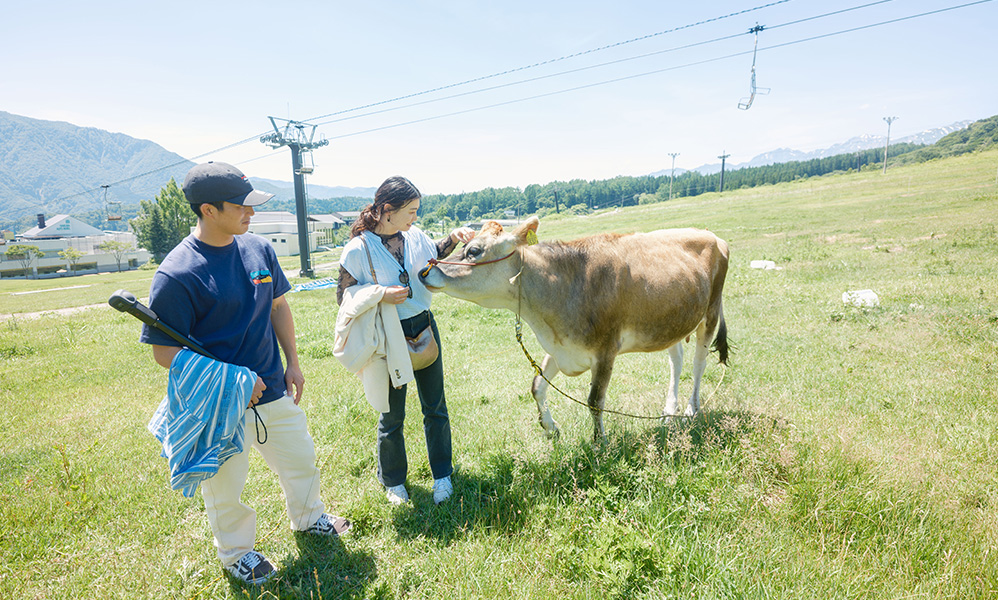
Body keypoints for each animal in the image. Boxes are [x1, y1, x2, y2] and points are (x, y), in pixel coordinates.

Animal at [418, 217, 732, 440]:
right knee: (676, 361)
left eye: (474, 250)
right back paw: (668, 412)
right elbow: (537, 385)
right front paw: (550, 427)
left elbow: (594, 400)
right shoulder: (561, 348)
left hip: (710, 312)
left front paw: (599, 443)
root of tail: (711, 234)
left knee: (698, 364)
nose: (423, 271)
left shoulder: (605, 350)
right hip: (671, 319)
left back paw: (691, 409)